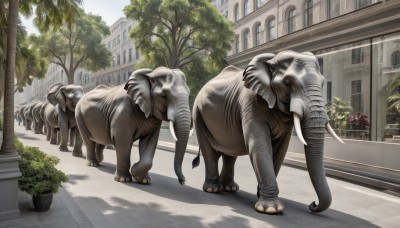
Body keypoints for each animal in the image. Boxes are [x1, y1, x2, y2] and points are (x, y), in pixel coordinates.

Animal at [192, 50, 342, 216]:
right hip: (198, 114)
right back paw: (213, 189)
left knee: (230, 154)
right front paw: (271, 209)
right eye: (288, 82)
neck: (272, 60)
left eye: (322, 83)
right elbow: (260, 145)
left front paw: (261, 198)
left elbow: (279, 149)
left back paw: (230, 188)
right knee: (209, 152)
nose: (313, 204)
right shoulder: (251, 102)